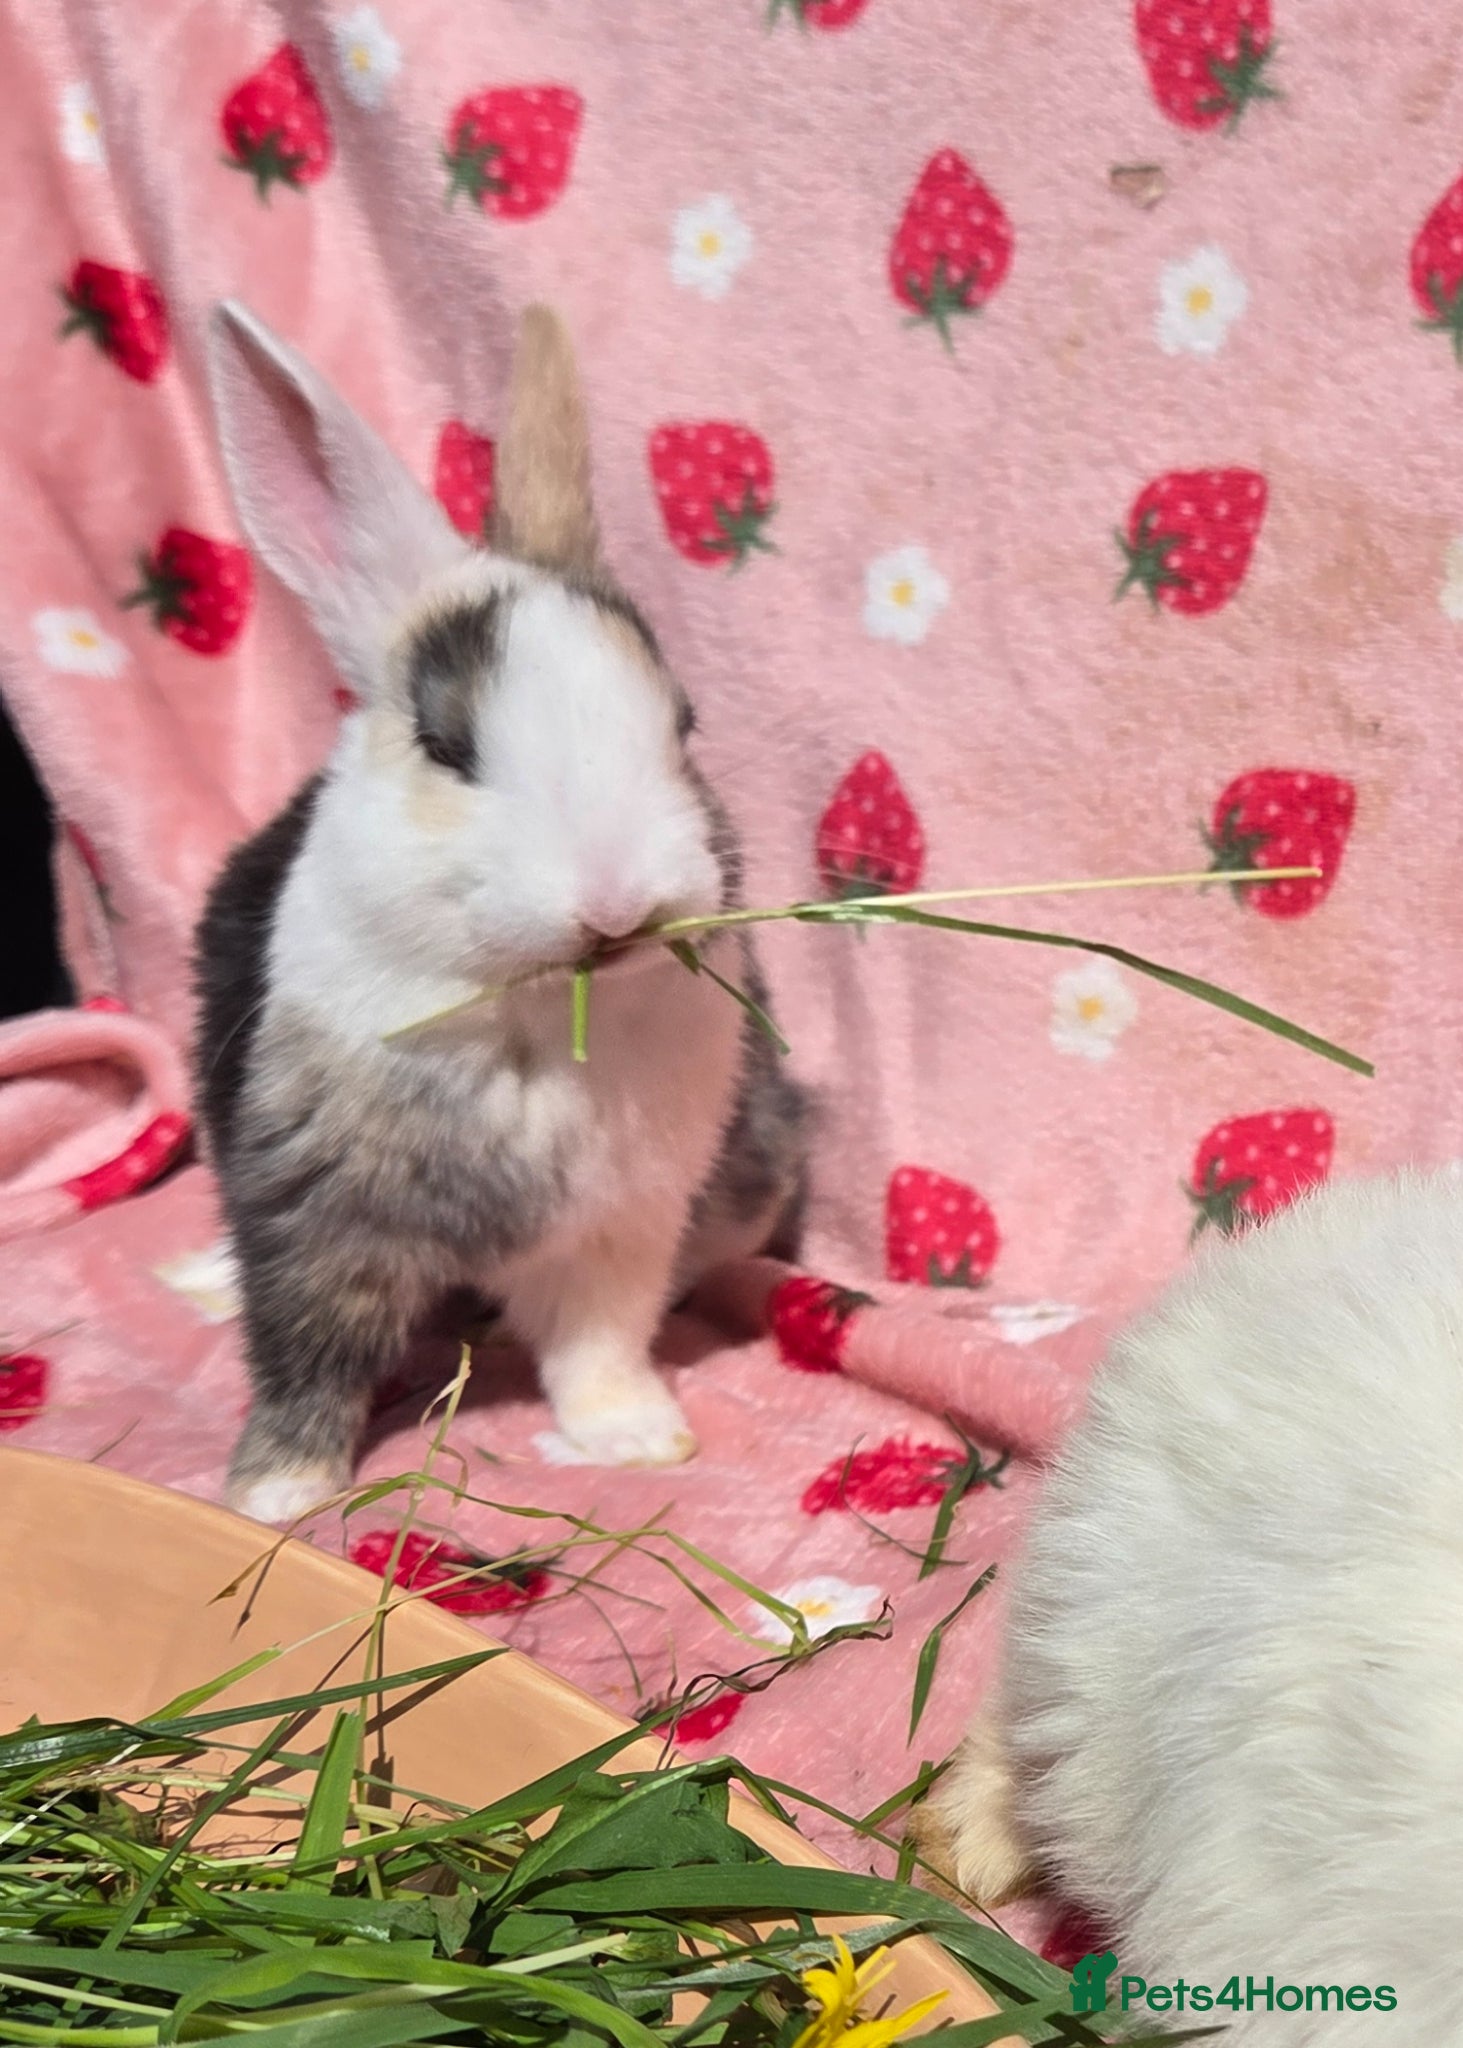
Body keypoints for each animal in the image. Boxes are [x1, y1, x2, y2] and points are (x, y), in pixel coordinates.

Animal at [193, 299, 808, 1525]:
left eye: (683, 723)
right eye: (446, 744)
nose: (616, 902)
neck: (532, 1011)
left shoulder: (625, 1224)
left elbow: (600, 1343)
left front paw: (635, 1439)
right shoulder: (308, 1213)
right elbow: (304, 1354)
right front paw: (275, 1495)